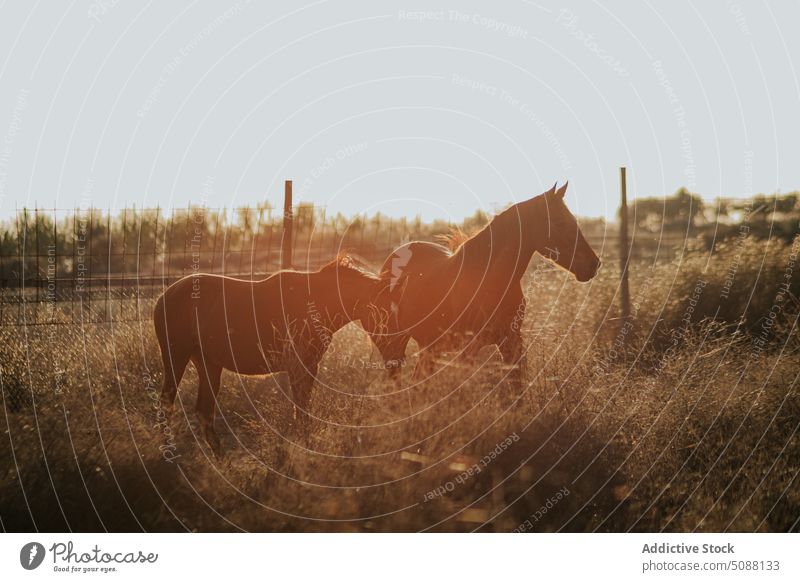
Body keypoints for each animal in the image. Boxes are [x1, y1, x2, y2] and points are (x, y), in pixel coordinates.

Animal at [153, 256, 378, 456]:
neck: (315, 302)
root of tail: (164, 296)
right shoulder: (300, 368)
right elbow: (302, 412)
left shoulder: (307, 368)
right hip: (176, 357)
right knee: (167, 404)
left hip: (209, 365)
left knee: (204, 412)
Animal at [362, 182, 600, 384]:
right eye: (559, 222)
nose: (593, 264)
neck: (491, 280)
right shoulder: (469, 348)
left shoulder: (512, 342)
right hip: (394, 343)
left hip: (429, 345)